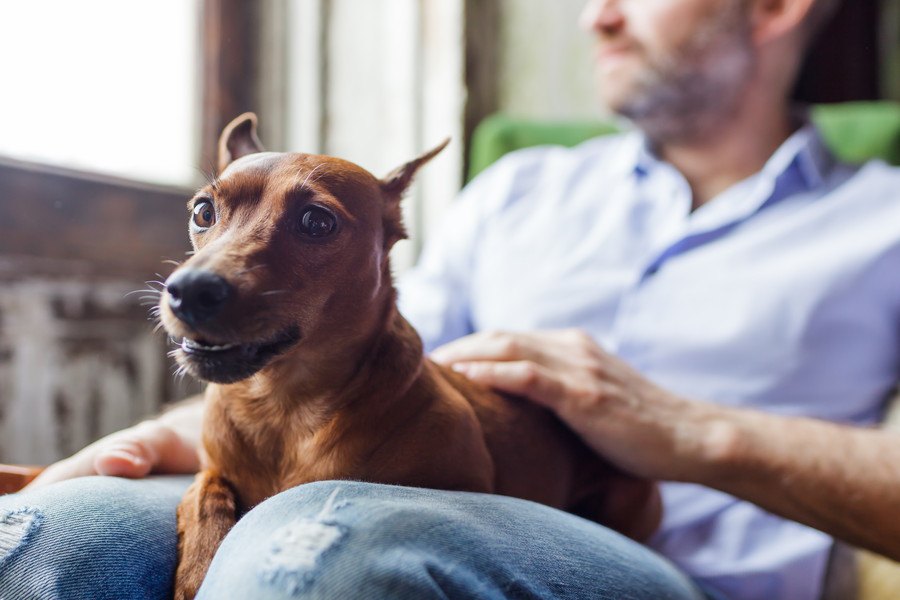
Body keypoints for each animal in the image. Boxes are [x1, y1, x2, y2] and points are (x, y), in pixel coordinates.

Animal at [165, 115, 660, 596]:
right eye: (203, 212)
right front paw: (198, 566)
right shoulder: (213, 468)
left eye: (316, 222)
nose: (188, 290)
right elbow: (204, 496)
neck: (282, 407)